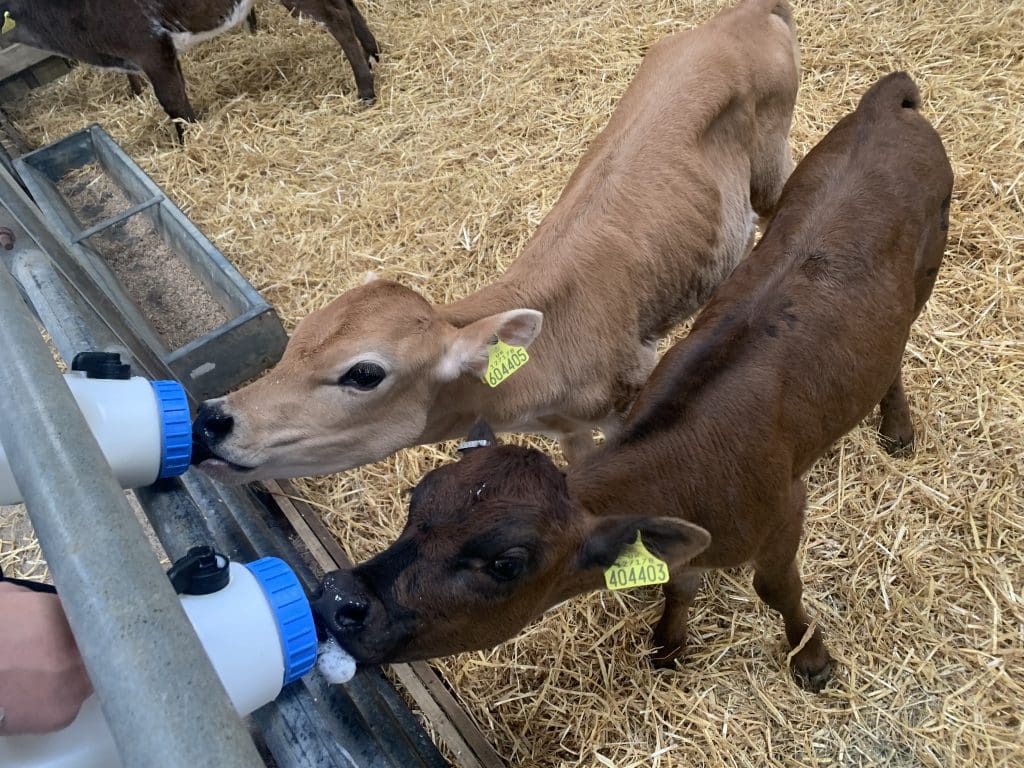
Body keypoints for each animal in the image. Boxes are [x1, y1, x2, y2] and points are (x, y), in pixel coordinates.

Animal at [2, 0, 378, 137]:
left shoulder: (148, 47)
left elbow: (172, 103)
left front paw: (188, 143)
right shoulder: (163, 52)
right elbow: (181, 95)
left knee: (337, 18)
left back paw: (365, 90)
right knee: (347, 6)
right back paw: (375, 55)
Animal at [190, 0, 798, 481]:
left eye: (364, 373)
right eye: (293, 342)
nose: (212, 421)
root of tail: (745, 12)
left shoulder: (633, 394)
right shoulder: (565, 428)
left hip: (771, 168)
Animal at [309, 75, 950, 696]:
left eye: (507, 563)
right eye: (415, 500)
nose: (340, 600)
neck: (689, 472)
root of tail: (884, 101)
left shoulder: (784, 508)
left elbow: (778, 591)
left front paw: (812, 657)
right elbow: (679, 582)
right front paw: (668, 644)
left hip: (926, 267)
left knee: (898, 348)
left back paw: (897, 426)